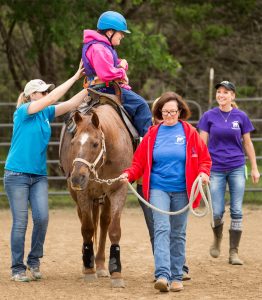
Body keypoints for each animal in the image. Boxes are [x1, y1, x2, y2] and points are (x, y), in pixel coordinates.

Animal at [59, 90, 133, 288]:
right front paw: (88, 269)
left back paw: (100, 264)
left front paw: (116, 272)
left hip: (104, 196)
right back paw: (91, 263)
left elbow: (114, 229)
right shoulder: (83, 193)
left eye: (95, 143)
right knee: (89, 222)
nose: (77, 177)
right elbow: (87, 229)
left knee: (104, 222)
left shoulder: (118, 189)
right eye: (74, 142)